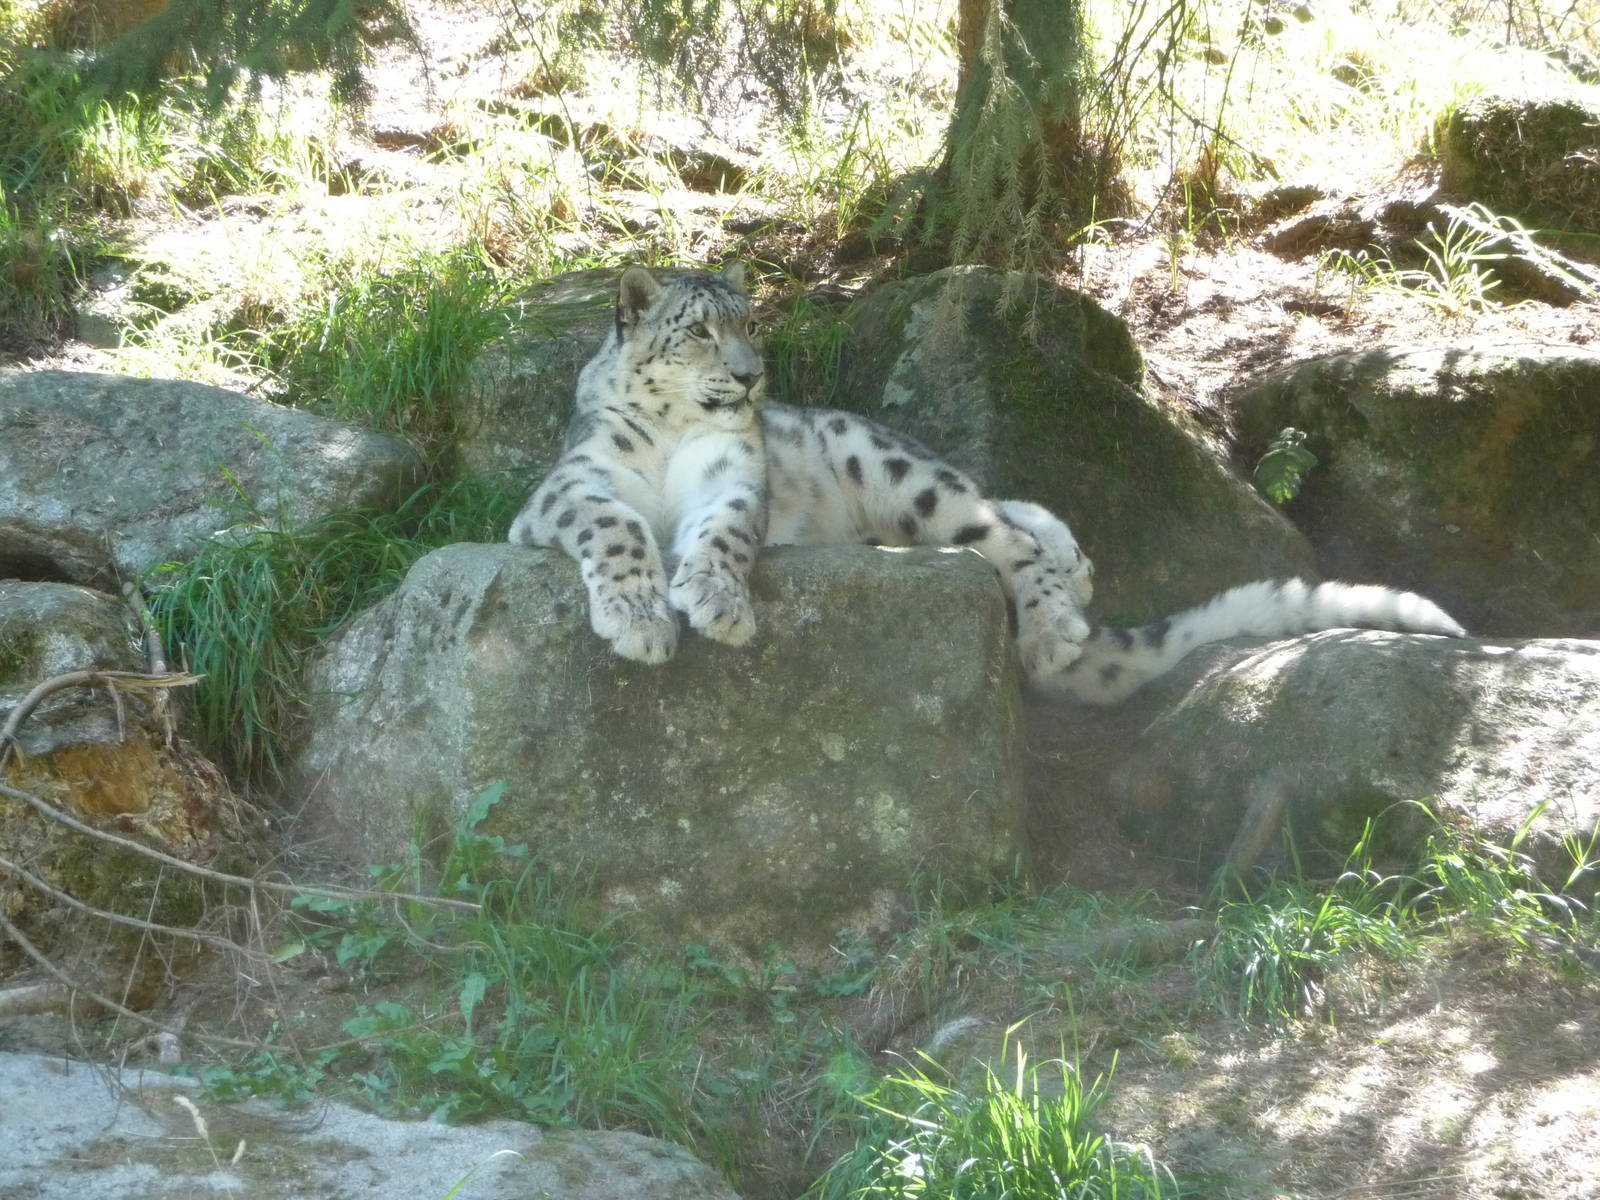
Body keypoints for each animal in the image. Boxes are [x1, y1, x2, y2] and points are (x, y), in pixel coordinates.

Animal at [508, 263, 1466, 704]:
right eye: (699, 331)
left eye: (752, 327)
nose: (750, 378)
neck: (675, 438)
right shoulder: (569, 489)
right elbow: (618, 527)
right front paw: (641, 621)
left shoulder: (735, 480)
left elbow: (723, 533)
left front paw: (713, 600)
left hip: (896, 470)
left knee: (1001, 530)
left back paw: (1054, 620)